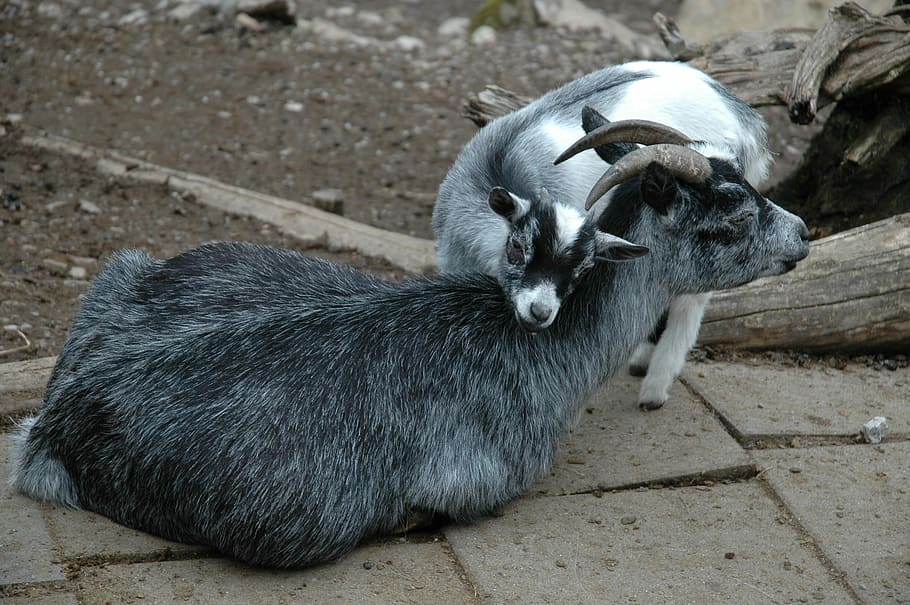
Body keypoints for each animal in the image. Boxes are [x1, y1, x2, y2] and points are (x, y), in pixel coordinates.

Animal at [433, 60, 776, 409]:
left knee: (691, 299)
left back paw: (655, 388)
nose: (540, 313)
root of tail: (744, 117)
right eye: (517, 246)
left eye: (585, 269)